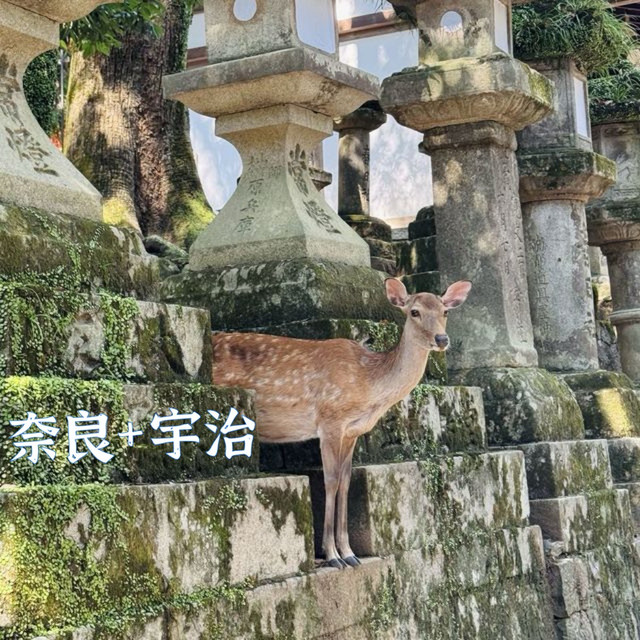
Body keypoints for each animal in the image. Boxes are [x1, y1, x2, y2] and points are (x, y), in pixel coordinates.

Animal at [211, 278, 472, 568]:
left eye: (445, 311)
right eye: (414, 312)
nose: (442, 339)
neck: (369, 386)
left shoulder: (352, 431)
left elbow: (346, 481)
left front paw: (349, 552)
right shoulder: (330, 420)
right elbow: (331, 480)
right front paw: (333, 556)